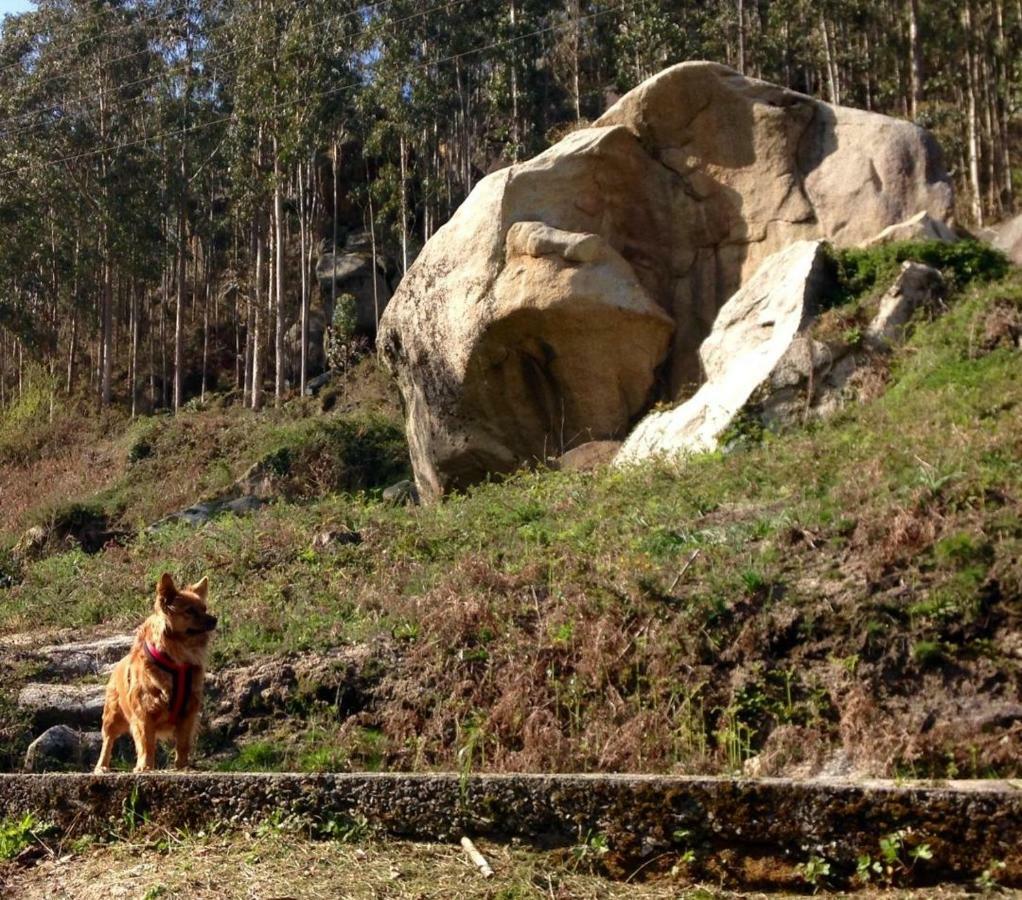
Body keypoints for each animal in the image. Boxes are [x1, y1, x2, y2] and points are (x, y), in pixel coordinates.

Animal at [95, 572, 216, 768]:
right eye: (190, 611)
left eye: (204, 609)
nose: (215, 619)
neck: (178, 658)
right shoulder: (144, 713)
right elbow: (146, 743)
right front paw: (144, 767)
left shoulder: (188, 711)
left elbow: (183, 744)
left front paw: (182, 766)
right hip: (113, 715)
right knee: (108, 740)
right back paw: (102, 767)